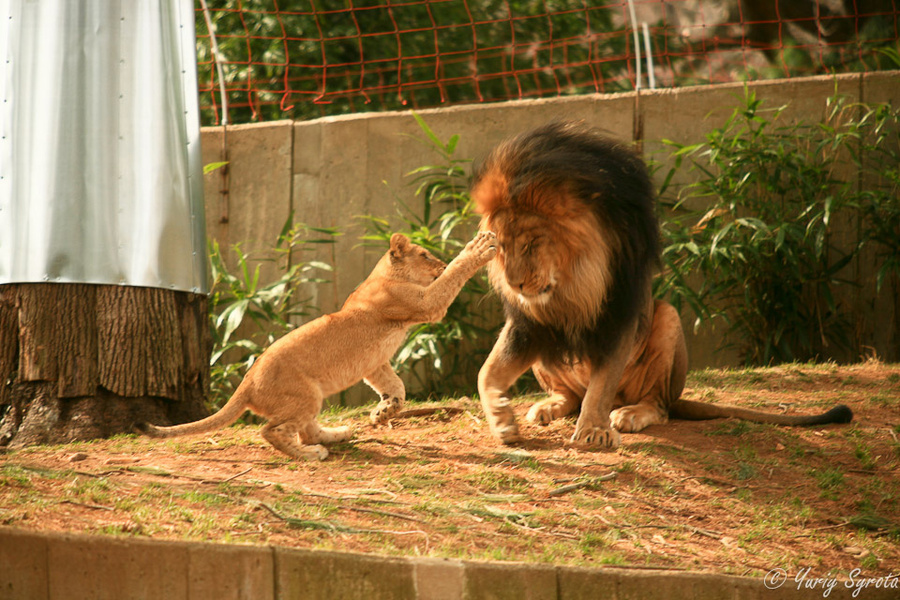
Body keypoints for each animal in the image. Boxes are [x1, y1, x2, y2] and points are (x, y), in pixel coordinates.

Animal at [472, 122, 852, 450]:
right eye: (500, 246)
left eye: (533, 243)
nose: (515, 283)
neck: (571, 286)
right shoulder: (528, 324)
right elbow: (486, 372)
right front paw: (502, 418)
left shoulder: (619, 313)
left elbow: (601, 385)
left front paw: (594, 429)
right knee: (572, 396)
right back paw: (548, 406)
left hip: (666, 319)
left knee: (656, 405)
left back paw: (628, 413)